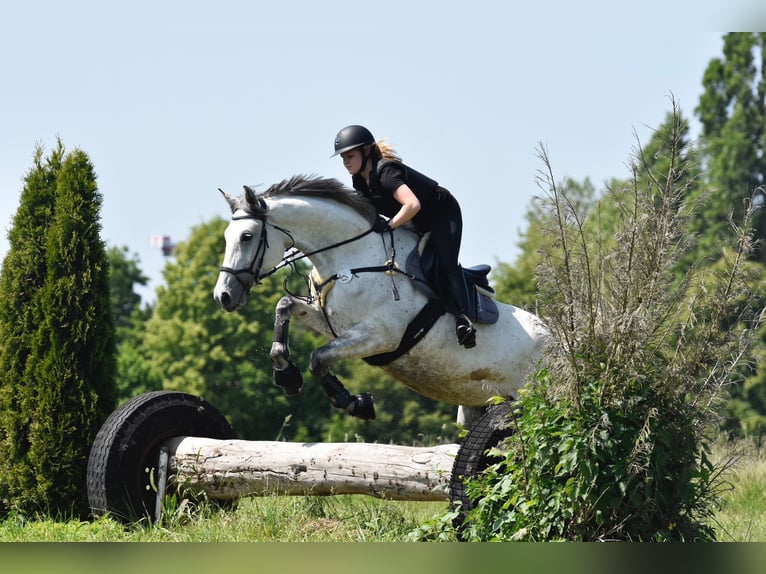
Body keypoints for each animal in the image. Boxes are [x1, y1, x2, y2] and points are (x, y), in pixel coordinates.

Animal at [213, 176, 548, 432]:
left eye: (246, 236)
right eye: (227, 236)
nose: (223, 296)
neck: (352, 257)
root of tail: (555, 338)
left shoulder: (379, 335)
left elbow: (318, 358)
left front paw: (355, 403)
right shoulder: (331, 322)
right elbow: (284, 306)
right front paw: (287, 375)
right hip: (477, 406)